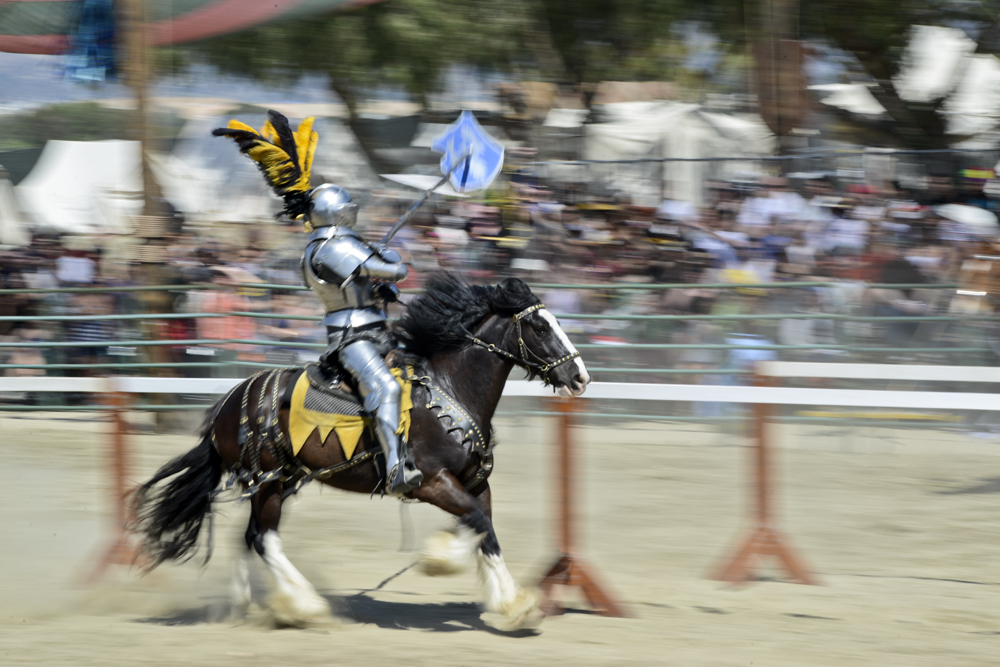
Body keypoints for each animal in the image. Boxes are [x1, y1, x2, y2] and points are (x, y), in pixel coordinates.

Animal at [130, 274, 588, 628]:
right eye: (541, 328)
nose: (580, 376)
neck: (448, 392)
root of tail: (228, 404)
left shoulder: (475, 483)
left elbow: (485, 530)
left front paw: (509, 600)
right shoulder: (432, 483)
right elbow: (477, 523)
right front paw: (449, 566)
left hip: (278, 481)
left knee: (248, 537)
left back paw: (245, 606)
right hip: (269, 482)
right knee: (264, 539)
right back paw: (305, 606)